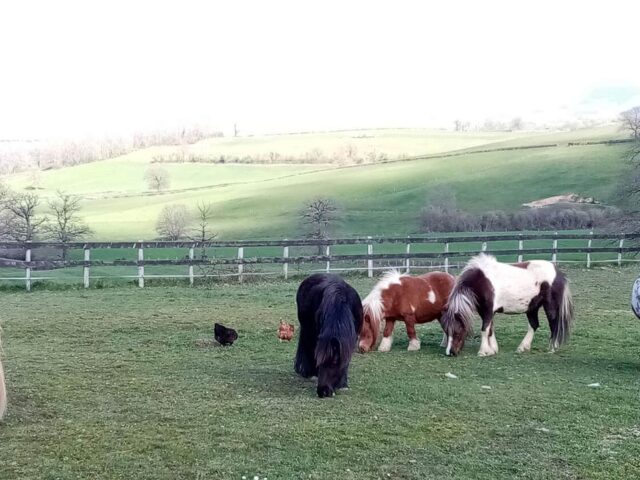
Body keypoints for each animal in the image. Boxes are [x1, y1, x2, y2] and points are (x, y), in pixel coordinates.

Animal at [440, 255, 576, 356]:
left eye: (457, 332)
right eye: (446, 331)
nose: (450, 353)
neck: (482, 281)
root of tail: (558, 273)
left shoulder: (488, 310)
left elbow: (484, 329)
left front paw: (483, 351)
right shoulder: (485, 311)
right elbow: (490, 329)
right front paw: (492, 350)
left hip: (550, 307)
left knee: (554, 325)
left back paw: (552, 348)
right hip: (532, 307)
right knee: (534, 325)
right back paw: (523, 347)